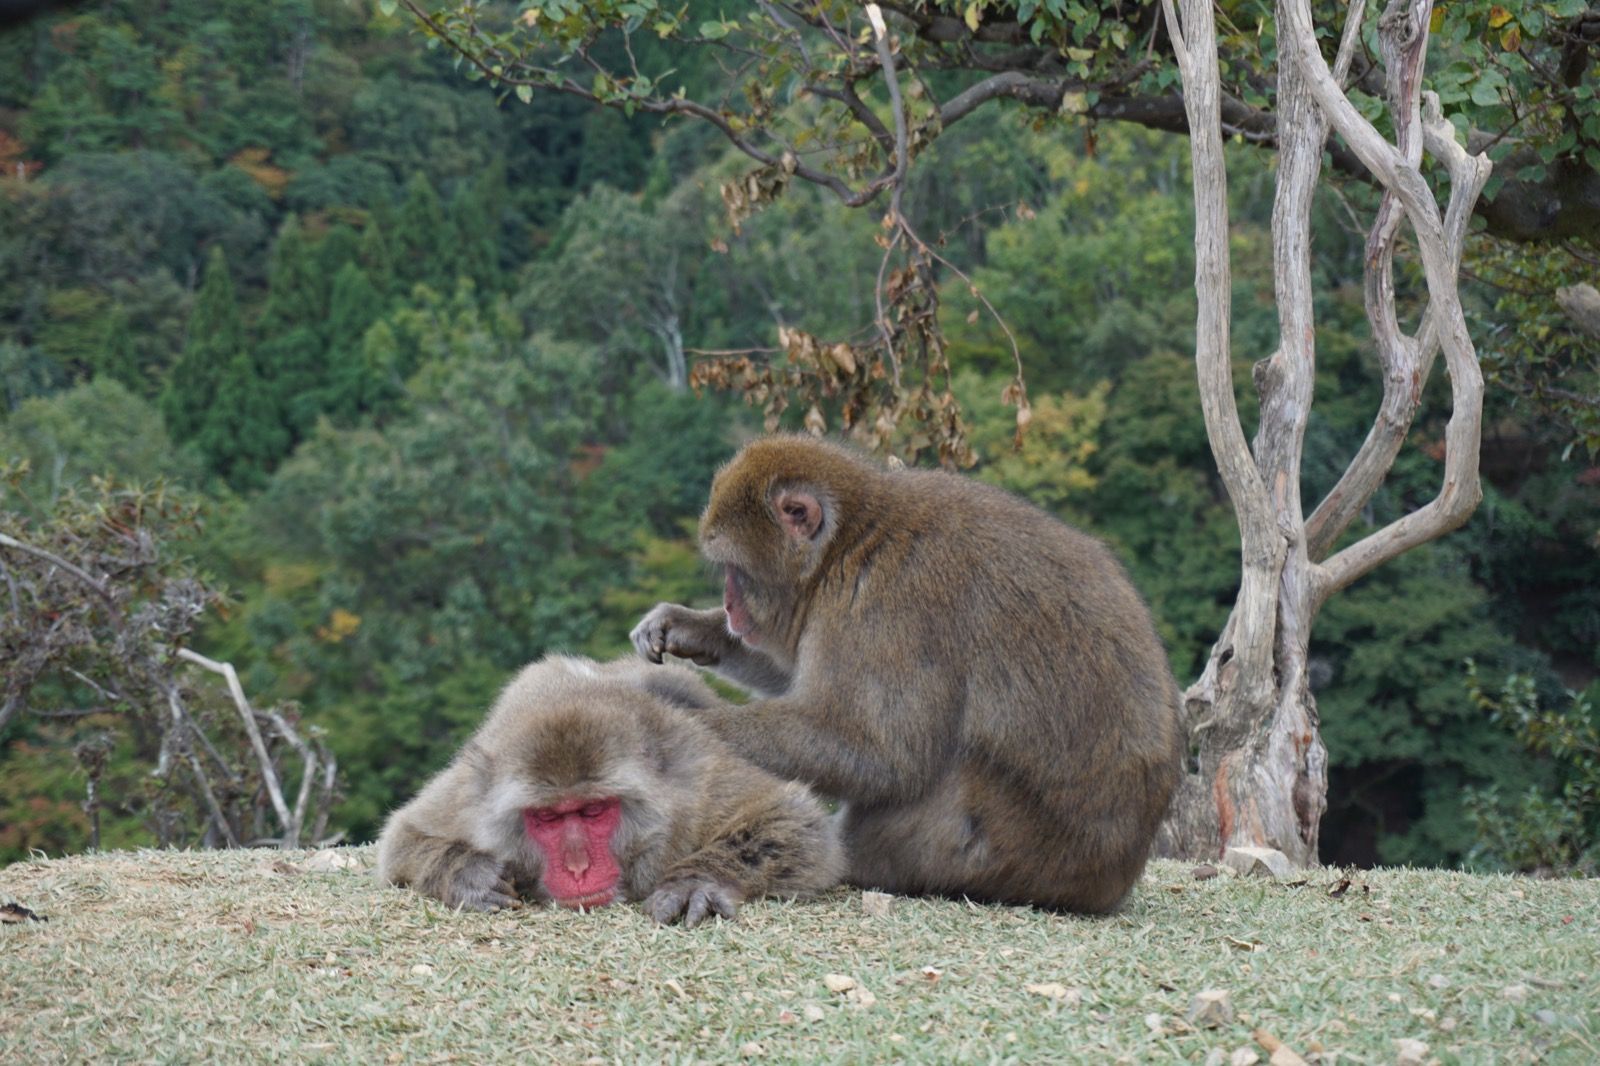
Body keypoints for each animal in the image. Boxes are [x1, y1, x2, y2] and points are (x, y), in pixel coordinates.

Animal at [376, 646, 851, 921]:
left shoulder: (692, 789)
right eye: (548, 818)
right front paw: (467, 873)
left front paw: (695, 882)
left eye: (593, 811)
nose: (577, 868)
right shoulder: (470, 799)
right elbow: (403, 836)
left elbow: (793, 818)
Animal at [630, 435, 1184, 909]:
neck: (851, 540)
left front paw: (673, 719)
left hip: (1005, 851)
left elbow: (882, 752)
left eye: (736, 570)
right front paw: (686, 627)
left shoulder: (886, 605)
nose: (728, 605)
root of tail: (1112, 881)